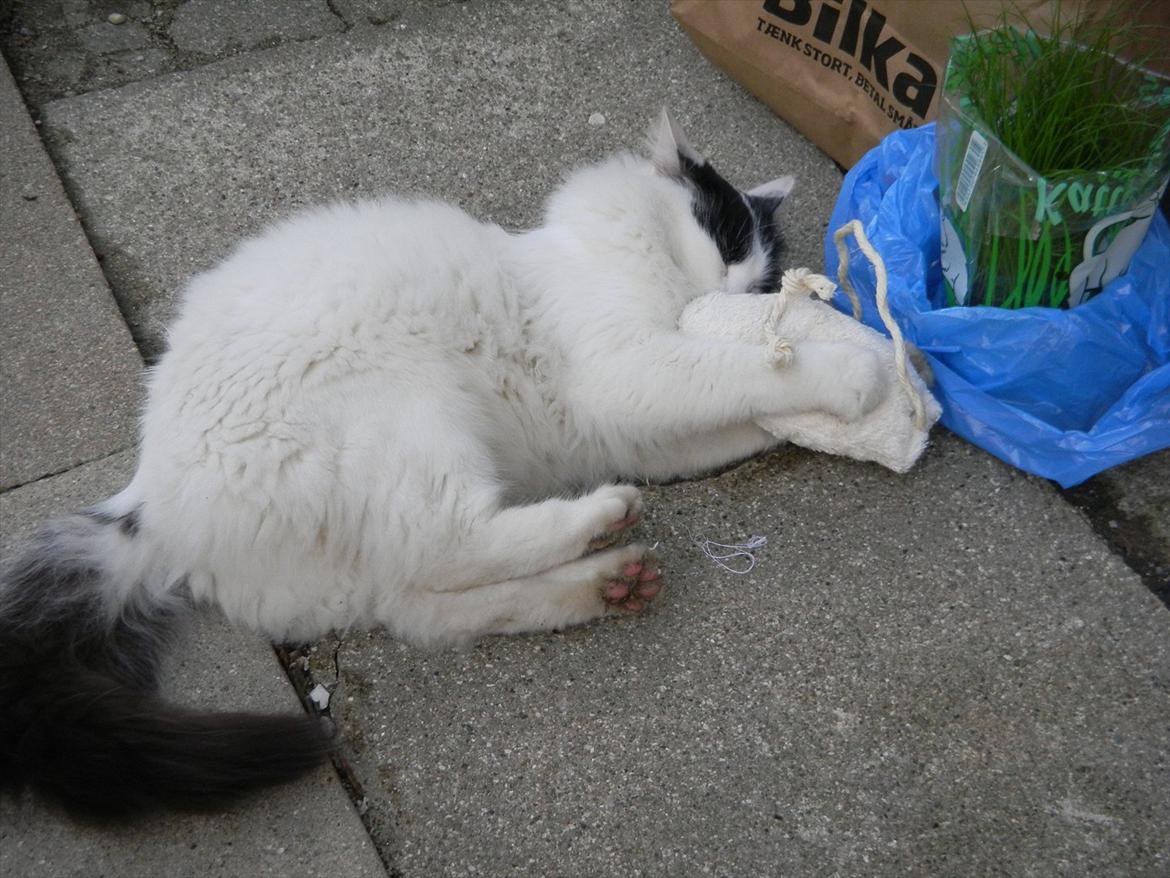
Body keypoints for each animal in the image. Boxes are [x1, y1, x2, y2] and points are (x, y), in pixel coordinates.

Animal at [0, 113, 884, 824]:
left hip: (374, 538)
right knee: (451, 544)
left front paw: (845, 419)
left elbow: (748, 410)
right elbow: (752, 370)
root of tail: (151, 501)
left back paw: (608, 582)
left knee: (424, 603)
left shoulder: (652, 426)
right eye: (728, 239)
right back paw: (602, 523)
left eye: (765, 276)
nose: (743, 291)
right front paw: (859, 375)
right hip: (413, 414)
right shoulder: (632, 371)